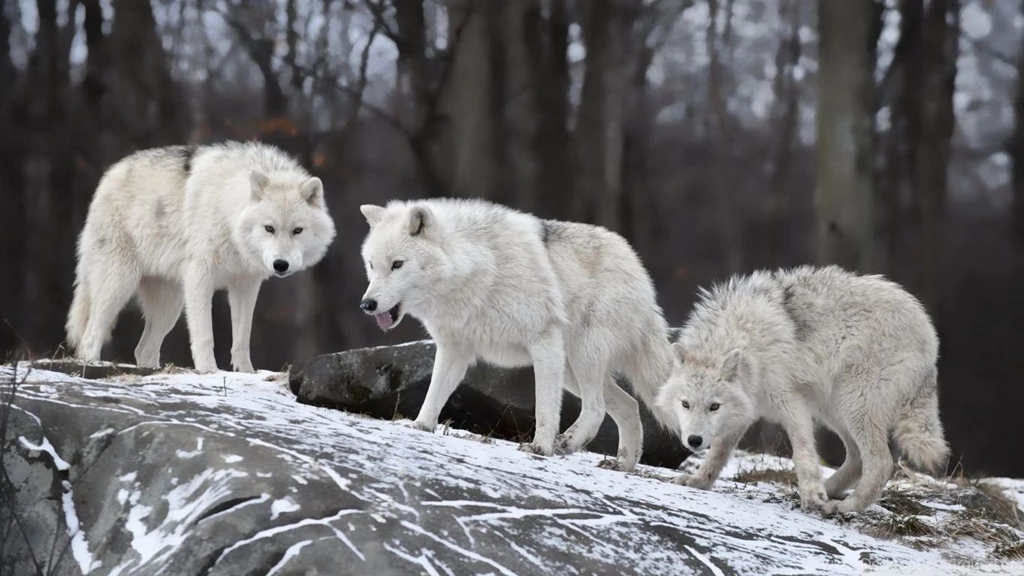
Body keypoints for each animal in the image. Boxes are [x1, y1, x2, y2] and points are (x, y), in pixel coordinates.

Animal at [66, 141, 336, 373]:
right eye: (269, 228)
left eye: (297, 230)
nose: (281, 265)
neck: (228, 213)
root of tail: (110, 174)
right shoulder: (200, 276)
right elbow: (205, 335)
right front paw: (209, 370)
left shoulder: (246, 285)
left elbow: (242, 338)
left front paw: (246, 372)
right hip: (120, 285)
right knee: (90, 337)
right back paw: (92, 364)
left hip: (170, 306)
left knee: (143, 349)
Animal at [357, 198, 674, 471]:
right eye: (372, 265)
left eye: (397, 264)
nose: (367, 304)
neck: (476, 270)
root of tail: (637, 265)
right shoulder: (454, 350)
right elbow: (434, 394)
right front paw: (420, 427)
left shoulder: (543, 341)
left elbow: (545, 408)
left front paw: (540, 448)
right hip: (571, 369)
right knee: (629, 405)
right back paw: (623, 464)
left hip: (581, 356)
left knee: (596, 408)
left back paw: (568, 443)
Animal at [656, 265, 949, 514]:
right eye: (685, 404)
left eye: (714, 406)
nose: (694, 441)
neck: (748, 341)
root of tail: (930, 334)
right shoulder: (746, 409)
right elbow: (718, 452)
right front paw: (699, 481)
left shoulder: (791, 401)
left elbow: (803, 452)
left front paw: (811, 494)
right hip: (834, 410)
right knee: (857, 460)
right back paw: (826, 492)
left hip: (852, 405)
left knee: (881, 463)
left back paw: (844, 506)